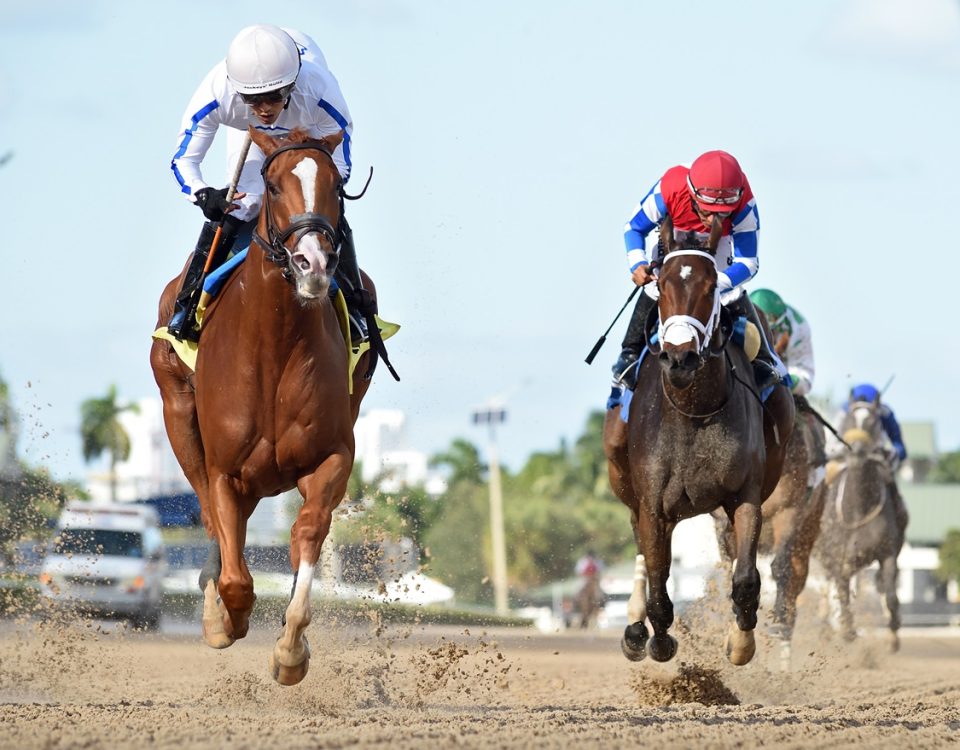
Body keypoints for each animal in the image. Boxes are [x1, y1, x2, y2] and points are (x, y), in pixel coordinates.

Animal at [150, 128, 376, 688]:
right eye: (272, 185)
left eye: (337, 186)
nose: (313, 265)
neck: (274, 345)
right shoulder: (225, 469)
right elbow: (234, 573)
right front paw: (225, 618)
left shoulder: (332, 455)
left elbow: (308, 532)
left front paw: (292, 650)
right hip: (178, 417)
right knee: (208, 515)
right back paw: (215, 612)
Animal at [600, 219, 796, 668]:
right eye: (662, 285)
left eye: (710, 289)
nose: (680, 358)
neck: (694, 408)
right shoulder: (653, 505)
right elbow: (657, 579)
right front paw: (657, 639)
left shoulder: (746, 496)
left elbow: (745, 578)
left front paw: (740, 643)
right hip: (628, 488)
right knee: (642, 554)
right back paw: (635, 628)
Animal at [812, 400, 904, 652]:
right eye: (849, 419)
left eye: (873, 420)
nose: (857, 451)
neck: (859, 507)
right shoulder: (838, 559)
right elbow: (842, 597)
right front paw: (847, 632)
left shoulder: (888, 552)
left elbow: (890, 594)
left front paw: (893, 636)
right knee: (828, 588)